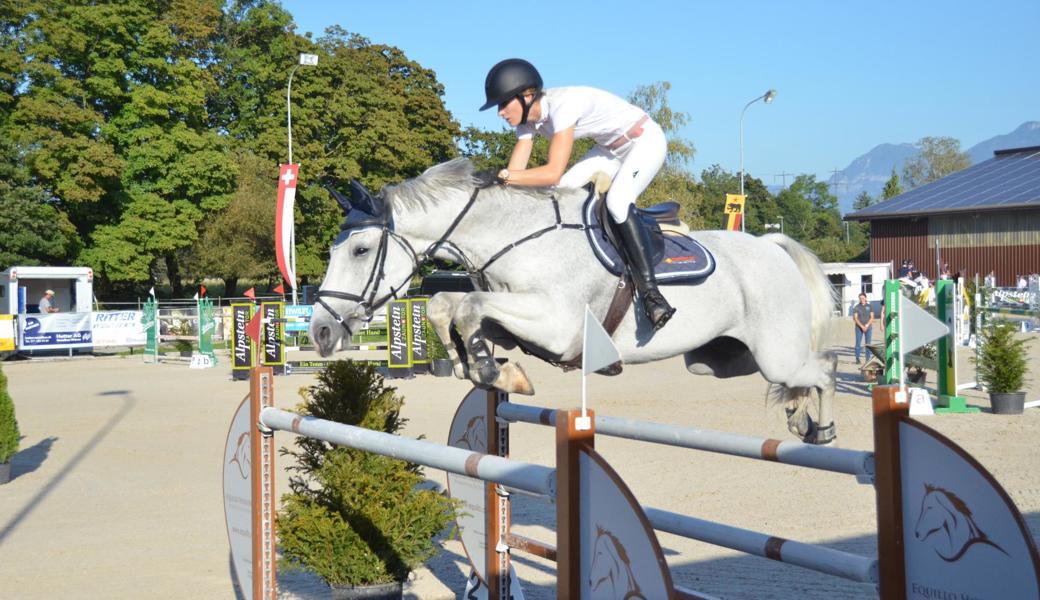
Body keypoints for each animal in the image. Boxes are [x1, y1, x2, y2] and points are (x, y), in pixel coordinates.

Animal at [307, 159, 836, 445]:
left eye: (359, 250)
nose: (320, 332)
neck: (515, 236)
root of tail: (772, 246)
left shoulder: (558, 326)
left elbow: (467, 306)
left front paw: (489, 369)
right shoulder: (515, 319)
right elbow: (448, 305)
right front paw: (481, 367)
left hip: (774, 353)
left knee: (824, 369)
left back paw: (823, 428)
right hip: (720, 361)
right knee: (795, 378)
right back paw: (798, 415)